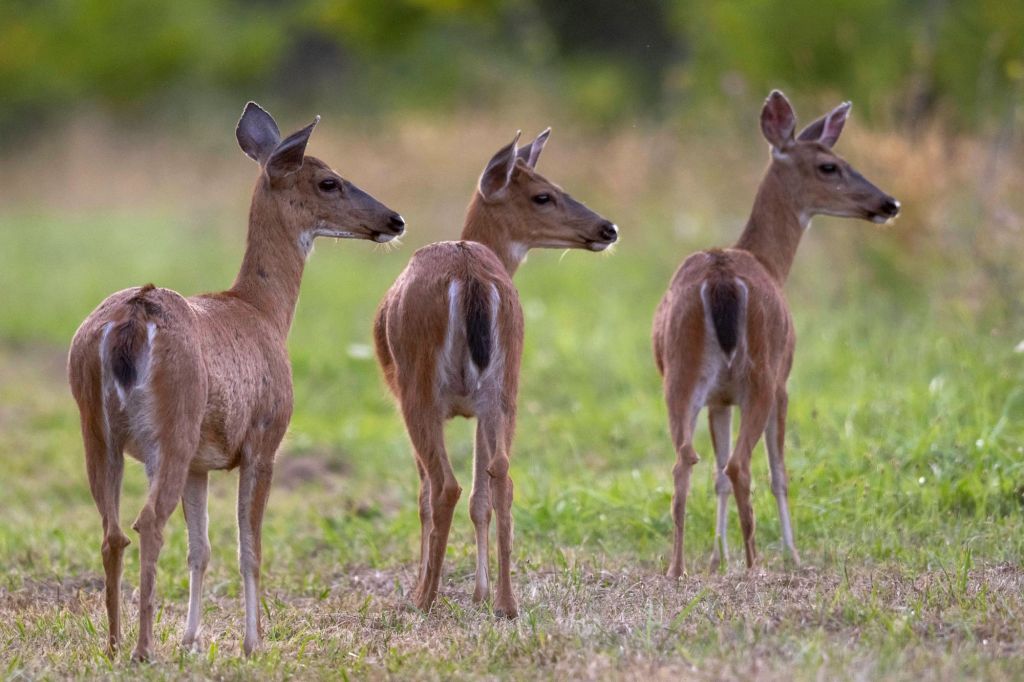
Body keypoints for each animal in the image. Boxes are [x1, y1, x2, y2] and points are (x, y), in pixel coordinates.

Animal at [65, 102, 403, 659]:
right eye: (329, 181)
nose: (395, 219)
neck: (263, 312)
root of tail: (131, 322)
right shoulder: (264, 439)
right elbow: (251, 548)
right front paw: (252, 642)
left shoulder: (202, 463)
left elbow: (201, 549)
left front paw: (191, 639)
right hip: (172, 428)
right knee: (147, 522)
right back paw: (142, 648)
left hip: (96, 429)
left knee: (113, 531)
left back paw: (113, 645)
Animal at [374, 129, 614, 614]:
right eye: (544, 194)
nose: (608, 228)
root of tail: (470, 273)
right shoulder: (482, 407)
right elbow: (481, 495)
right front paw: (481, 593)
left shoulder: (406, 395)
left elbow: (426, 493)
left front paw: (425, 587)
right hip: (505, 387)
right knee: (502, 474)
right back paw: (506, 601)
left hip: (419, 388)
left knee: (443, 485)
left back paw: (425, 598)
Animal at [651, 90, 901, 577]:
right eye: (829, 166)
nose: (888, 203)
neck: (769, 262)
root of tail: (722, 281)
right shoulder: (784, 382)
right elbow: (780, 472)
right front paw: (792, 554)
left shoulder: (719, 399)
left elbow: (715, 476)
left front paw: (717, 556)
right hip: (761, 374)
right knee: (740, 465)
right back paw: (754, 565)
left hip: (680, 374)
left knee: (686, 461)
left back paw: (678, 567)